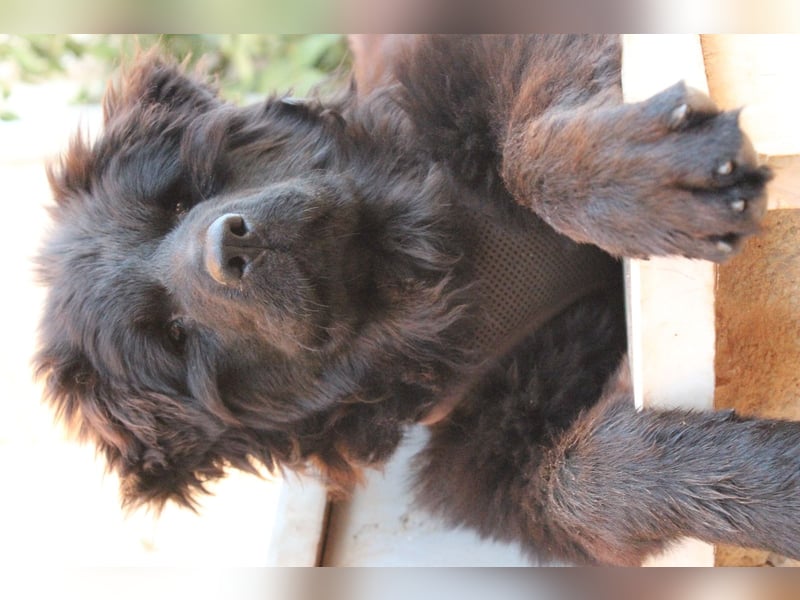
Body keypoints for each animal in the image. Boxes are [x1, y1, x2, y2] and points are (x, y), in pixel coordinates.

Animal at [34, 35, 796, 564]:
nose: (230, 251)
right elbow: (580, 484)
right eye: (171, 334)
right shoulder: (490, 461)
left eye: (180, 198)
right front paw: (778, 487)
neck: (437, 274)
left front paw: (644, 181)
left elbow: (523, 148)